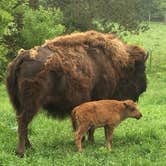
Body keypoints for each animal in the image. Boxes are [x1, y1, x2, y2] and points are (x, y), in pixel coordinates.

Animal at [6, 30, 148, 156]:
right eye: (141, 68)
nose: (144, 88)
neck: (115, 63)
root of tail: (23, 57)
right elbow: (92, 126)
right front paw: (90, 141)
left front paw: (86, 141)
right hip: (31, 104)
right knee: (23, 122)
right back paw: (22, 151)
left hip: (18, 104)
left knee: (22, 123)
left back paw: (30, 147)